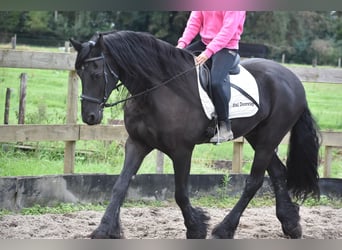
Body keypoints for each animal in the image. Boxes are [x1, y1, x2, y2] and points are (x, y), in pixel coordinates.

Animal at [69, 30, 320, 238]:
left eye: (96, 73)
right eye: (79, 72)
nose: (89, 116)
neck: (156, 91)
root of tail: (292, 78)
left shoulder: (182, 150)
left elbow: (180, 193)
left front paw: (196, 228)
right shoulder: (137, 143)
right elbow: (120, 186)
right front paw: (104, 230)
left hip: (269, 139)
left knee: (254, 182)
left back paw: (224, 230)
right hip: (257, 136)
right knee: (277, 172)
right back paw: (291, 224)